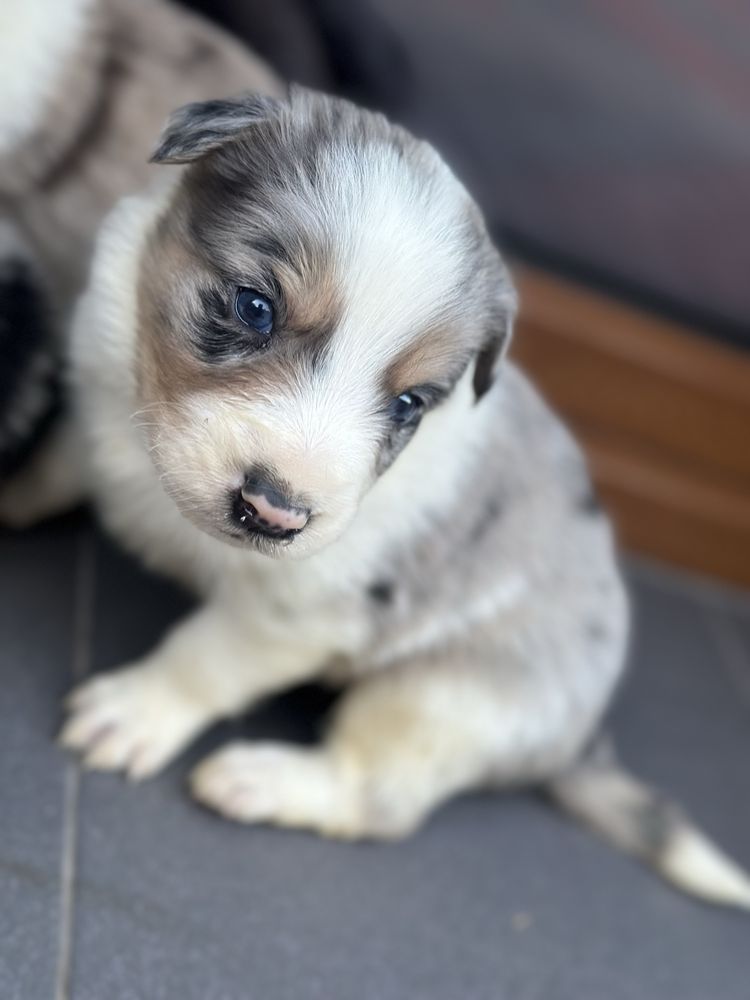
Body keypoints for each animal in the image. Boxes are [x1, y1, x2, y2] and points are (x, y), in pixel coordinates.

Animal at [1, 0, 750, 916]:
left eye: (408, 405)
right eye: (254, 308)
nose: (275, 512)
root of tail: (580, 739)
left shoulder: (299, 610)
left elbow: (204, 660)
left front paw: (135, 712)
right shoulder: (108, 381)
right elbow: (66, 454)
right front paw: (13, 489)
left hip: (440, 701)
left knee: (379, 801)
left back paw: (263, 780)